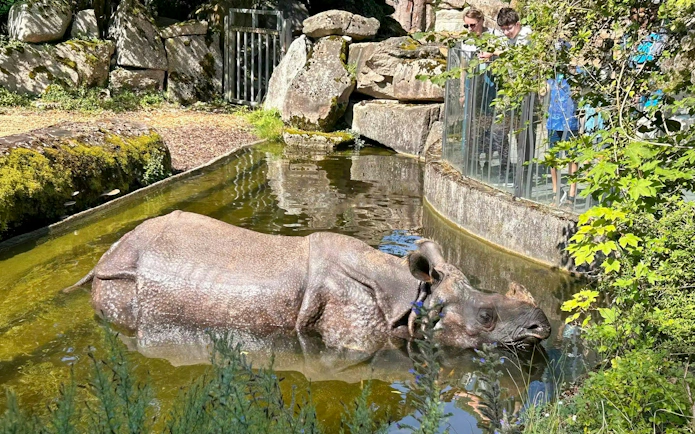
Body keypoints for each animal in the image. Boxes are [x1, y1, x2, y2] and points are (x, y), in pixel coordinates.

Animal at [69, 210, 551, 351]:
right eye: (486, 318)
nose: (542, 326)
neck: (411, 294)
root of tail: (108, 254)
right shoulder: (353, 335)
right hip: (123, 282)